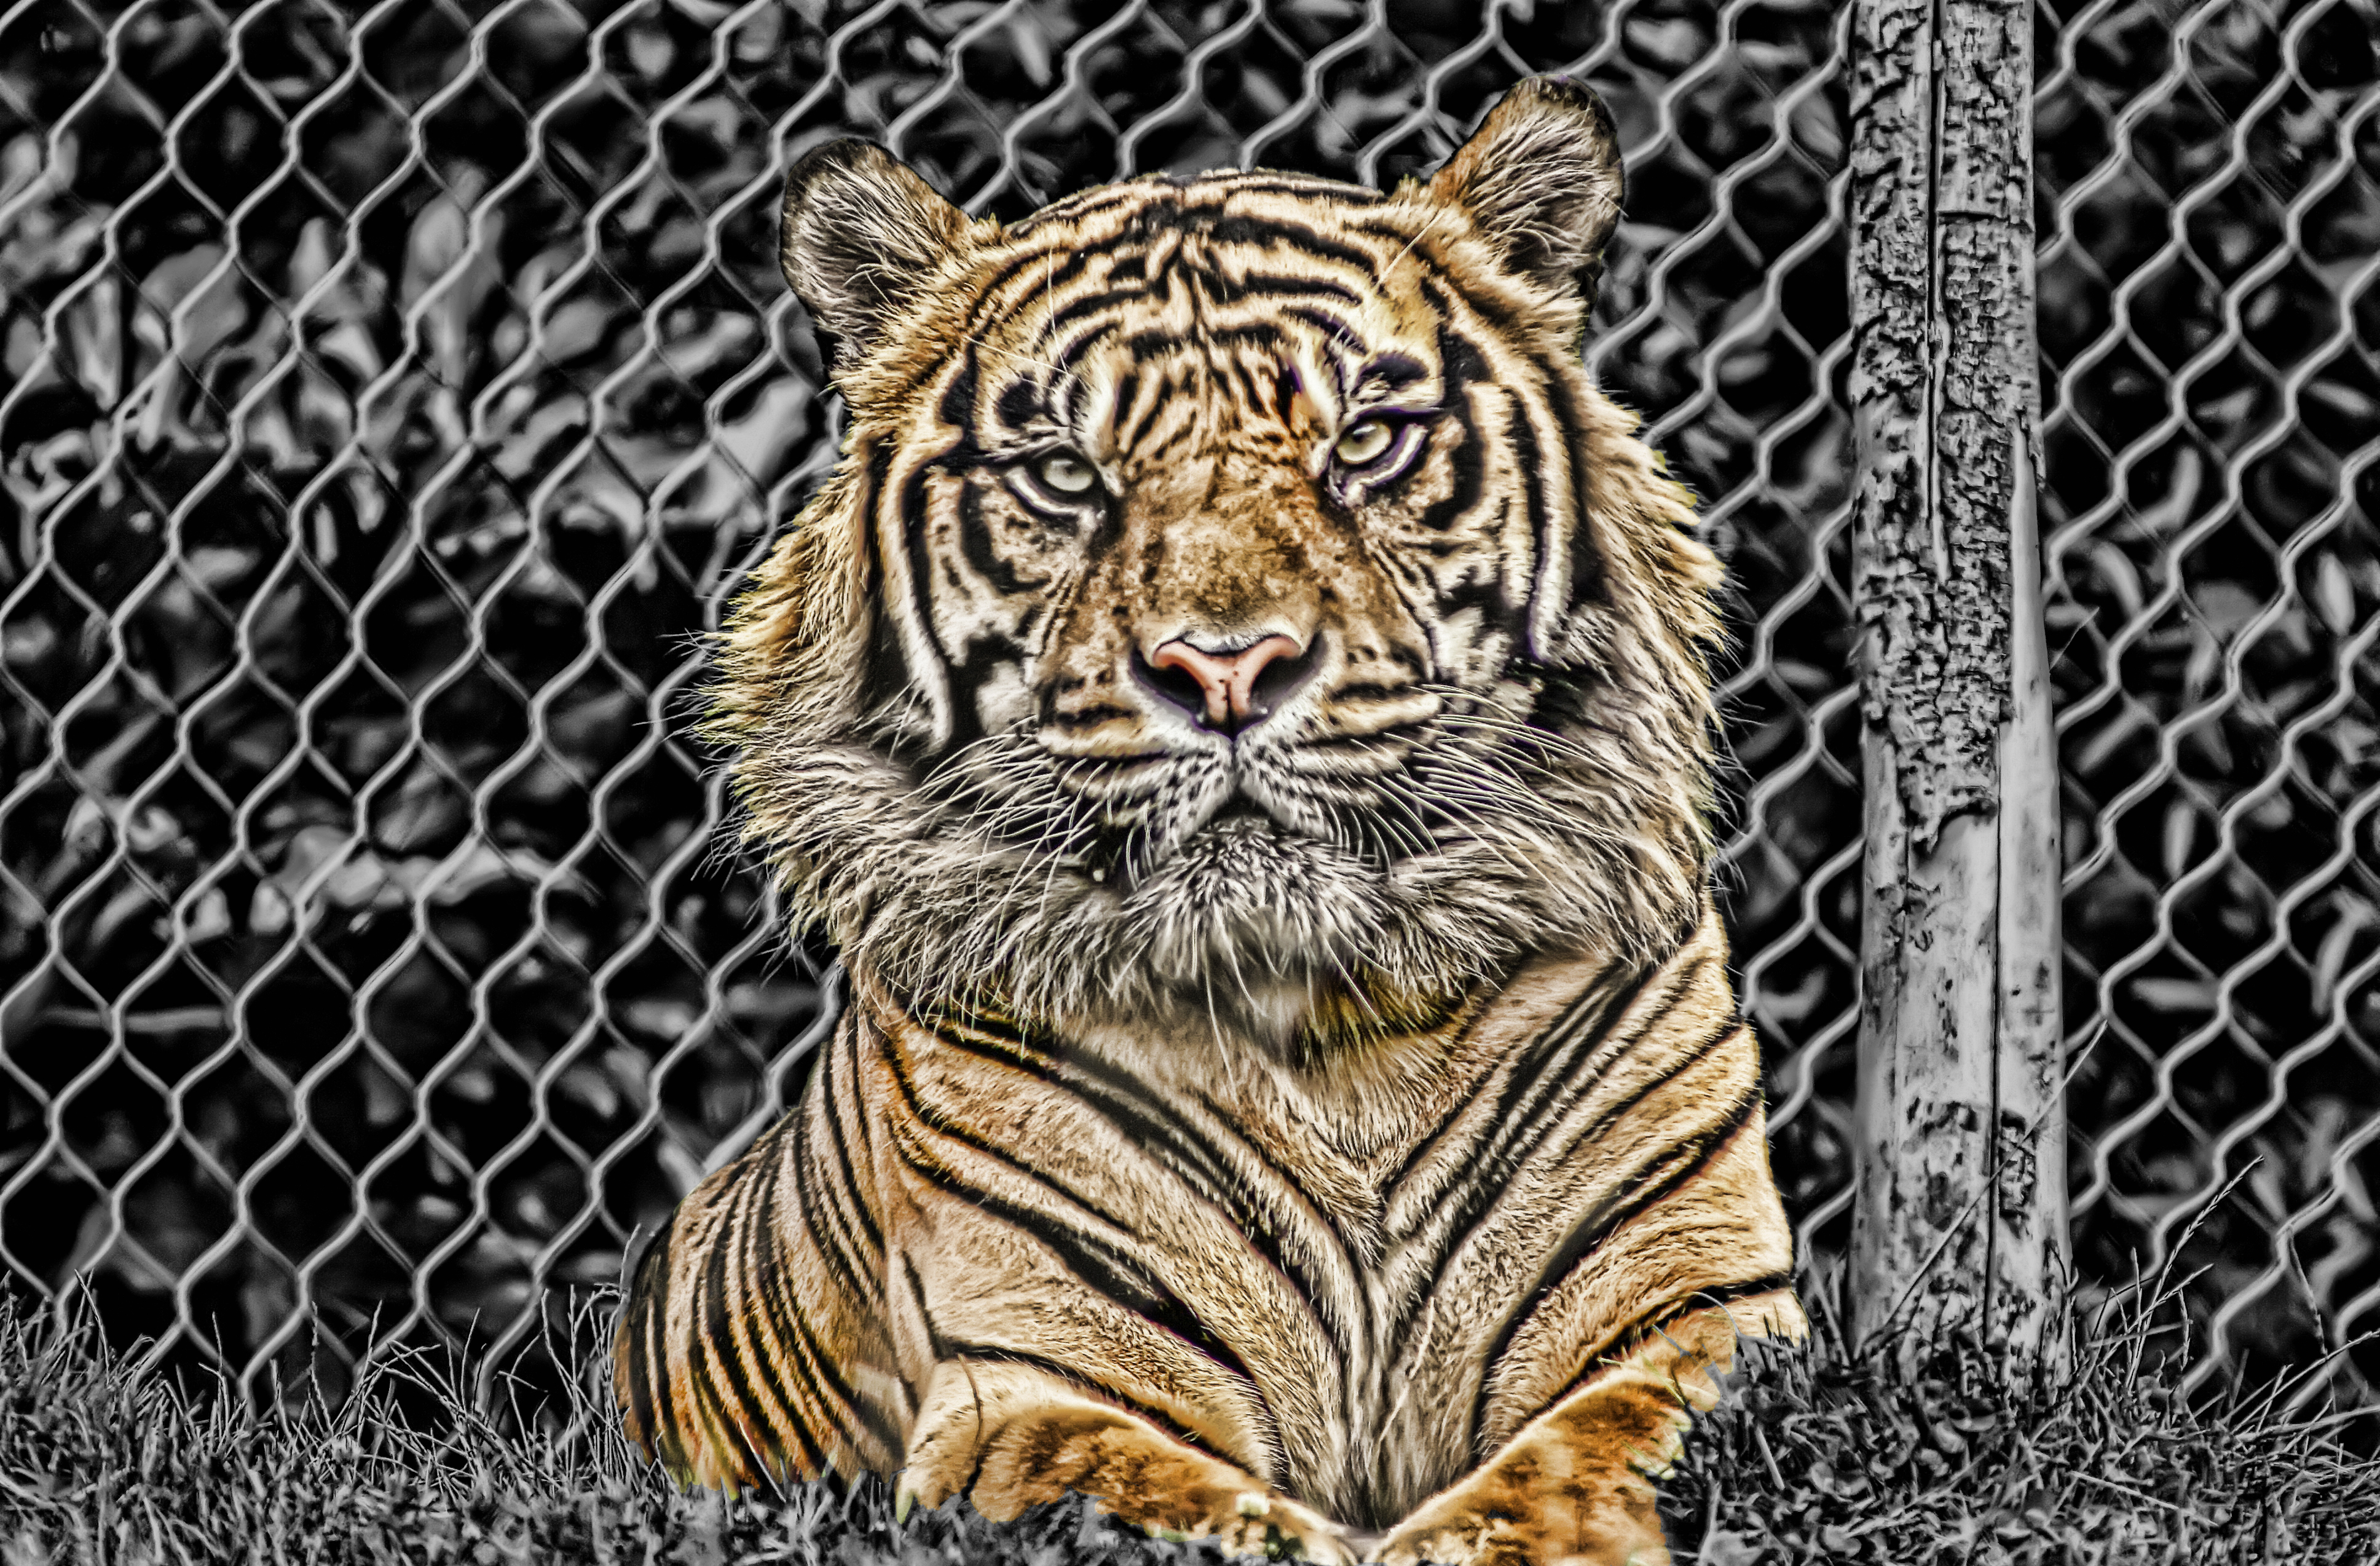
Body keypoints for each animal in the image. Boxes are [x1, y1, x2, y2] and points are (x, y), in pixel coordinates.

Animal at [613, 76, 1804, 1566]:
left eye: (1364, 442)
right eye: (1064, 475)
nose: (1226, 669)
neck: (1340, 1041)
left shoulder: (1700, 1318)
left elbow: (1550, 1485)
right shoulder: (1035, 1389)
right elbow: (1203, 1515)